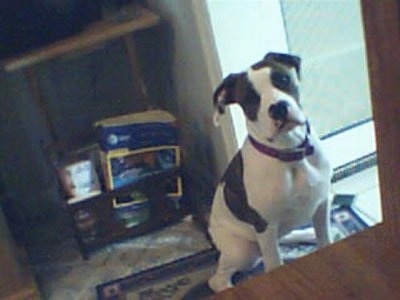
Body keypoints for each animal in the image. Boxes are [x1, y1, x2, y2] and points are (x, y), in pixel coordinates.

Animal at [208, 52, 332, 292]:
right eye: (250, 98)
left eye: (282, 79)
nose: (278, 108)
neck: (290, 153)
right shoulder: (265, 225)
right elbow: (275, 264)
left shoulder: (322, 205)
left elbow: (326, 241)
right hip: (243, 250)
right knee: (217, 279)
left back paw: (306, 234)